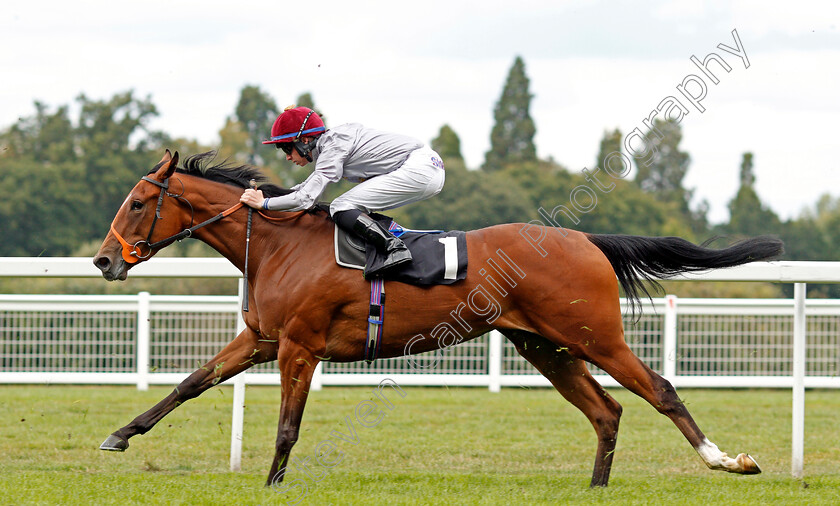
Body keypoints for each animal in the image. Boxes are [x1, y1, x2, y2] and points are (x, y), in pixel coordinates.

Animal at [95, 149, 784, 486]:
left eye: (138, 203)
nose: (104, 259)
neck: (278, 245)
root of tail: (587, 239)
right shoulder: (264, 339)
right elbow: (189, 384)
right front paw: (119, 435)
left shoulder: (299, 347)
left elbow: (288, 426)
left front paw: (272, 483)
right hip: (543, 346)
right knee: (606, 410)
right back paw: (596, 487)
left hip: (593, 336)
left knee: (659, 389)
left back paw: (727, 461)